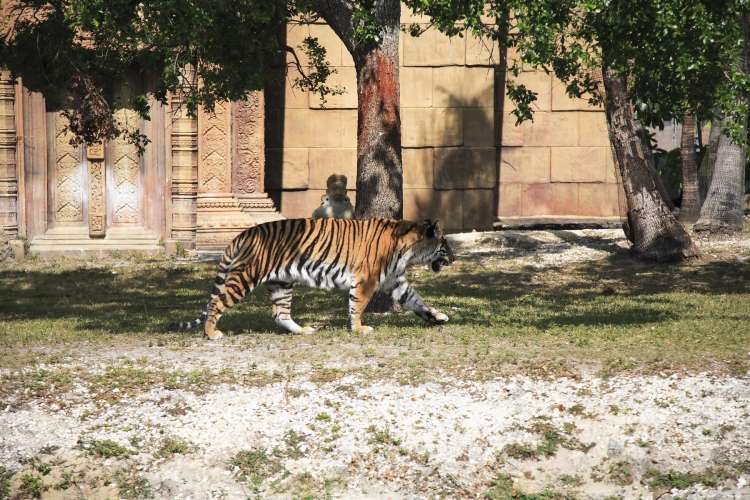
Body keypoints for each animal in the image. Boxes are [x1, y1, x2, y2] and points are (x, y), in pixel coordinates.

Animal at [168, 218, 456, 340]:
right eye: (445, 244)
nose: (454, 258)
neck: (409, 249)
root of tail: (244, 233)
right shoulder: (367, 280)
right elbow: (357, 306)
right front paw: (359, 328)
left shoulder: (395, 281)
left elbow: (417, 301)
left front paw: (437, 317)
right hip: (245, 277)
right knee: (216, 302)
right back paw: (211, 333)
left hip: (281, 283)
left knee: (280, 314)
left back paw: (303, 331)